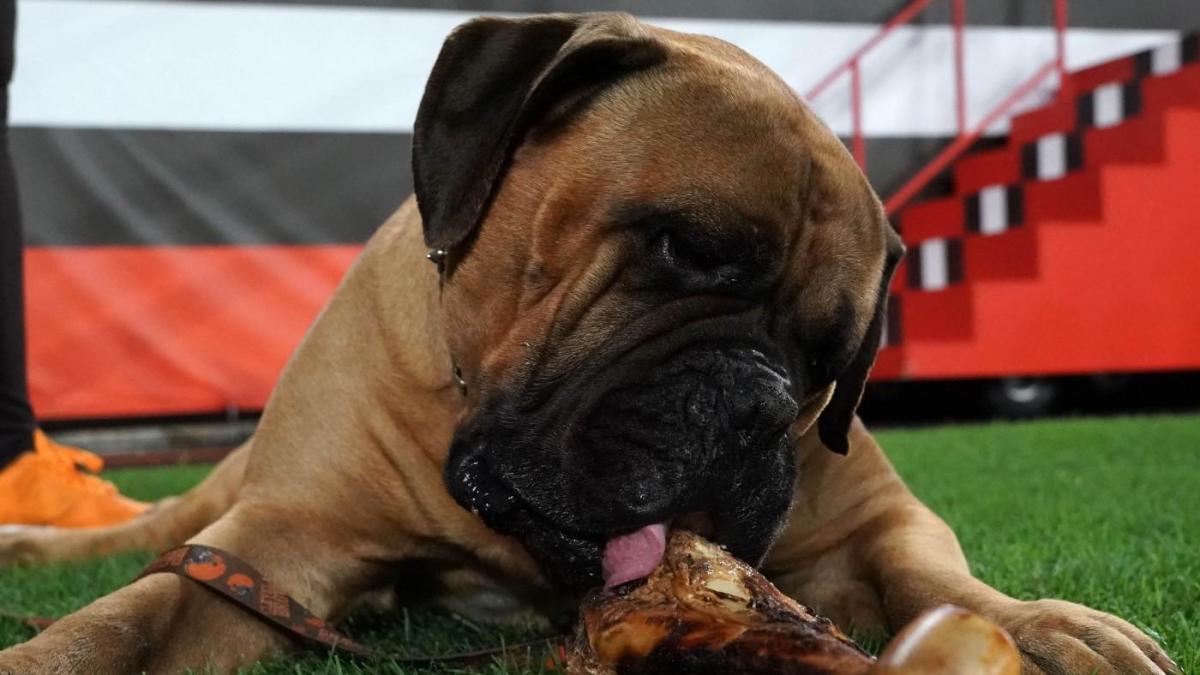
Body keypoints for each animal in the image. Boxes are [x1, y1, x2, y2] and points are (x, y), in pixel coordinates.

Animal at [0, 11, 1180, 672]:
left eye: (832, 359)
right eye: (685, 248)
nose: (755, 406)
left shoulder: (871, 518)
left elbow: (933, 575)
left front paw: (1046, 626)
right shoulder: (274, 543)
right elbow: (128, 616)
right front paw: (50, 646)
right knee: (152, 528)